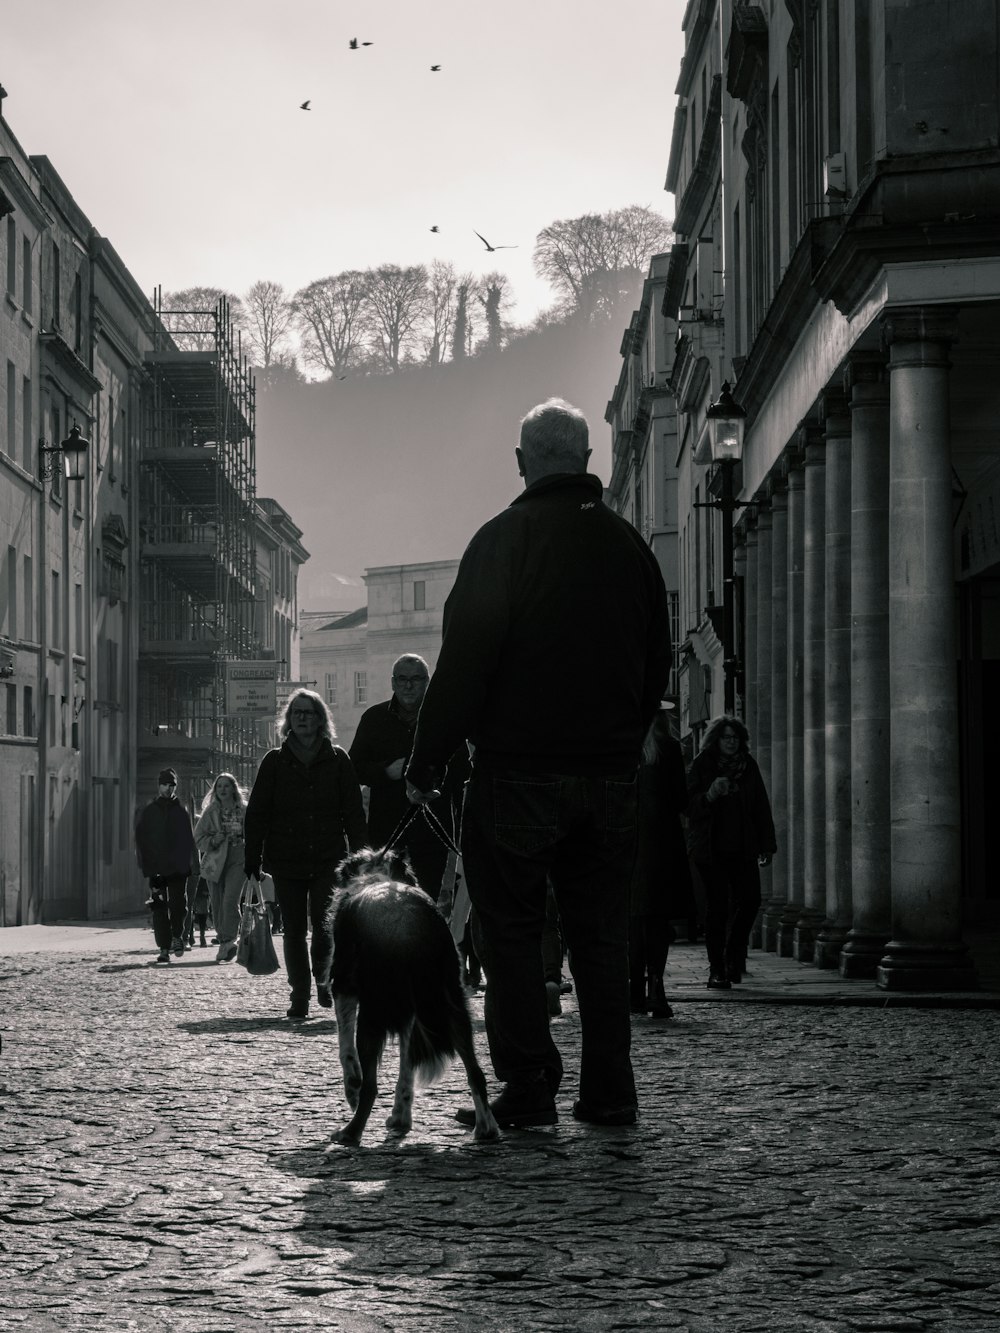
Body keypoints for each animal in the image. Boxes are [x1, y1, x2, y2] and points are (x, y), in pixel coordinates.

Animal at [313, 847, 501, 1151]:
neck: (377, 875)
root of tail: (411, 933)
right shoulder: (410, 1015)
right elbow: (406, 1068)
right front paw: (401, 1116)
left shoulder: (342, 985)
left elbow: (345, 1051)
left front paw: (352, 1088)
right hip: (454, 1004)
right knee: (476, 1073)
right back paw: (486, 1127)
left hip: (374, 1011)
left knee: (371, 1087)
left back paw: (351, 1132)